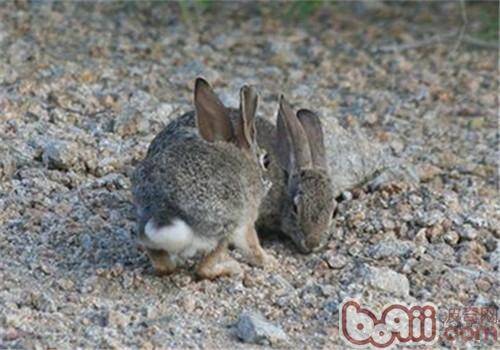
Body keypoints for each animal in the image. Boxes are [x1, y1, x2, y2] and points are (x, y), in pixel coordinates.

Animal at [131, 78, 272, 278]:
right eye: (266, 161)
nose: (268, 182)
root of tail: (166, 210)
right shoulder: (247, 220)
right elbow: (252, 245)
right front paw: (269, 261)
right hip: (223, 230)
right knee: (203, 269)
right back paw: (232, 267)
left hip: (145, 227)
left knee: (162, 266)